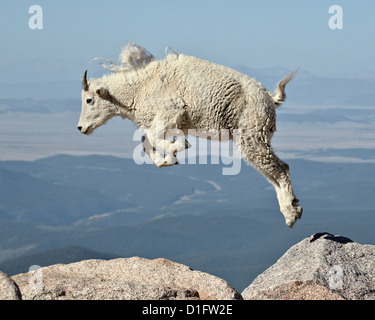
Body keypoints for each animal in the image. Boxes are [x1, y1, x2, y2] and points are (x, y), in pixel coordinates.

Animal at [78, 42, 304, 228]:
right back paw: (291, 208)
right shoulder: (166, 121)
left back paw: (291, 213)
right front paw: (166, 160)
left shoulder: (170, 111)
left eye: (89, 100)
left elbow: (152, 137)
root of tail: (270, 98)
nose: (80, 128)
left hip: (251, 134)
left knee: (280, 168)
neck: (139, 88)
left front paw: (178, 147)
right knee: (272, 172)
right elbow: (145, 140)